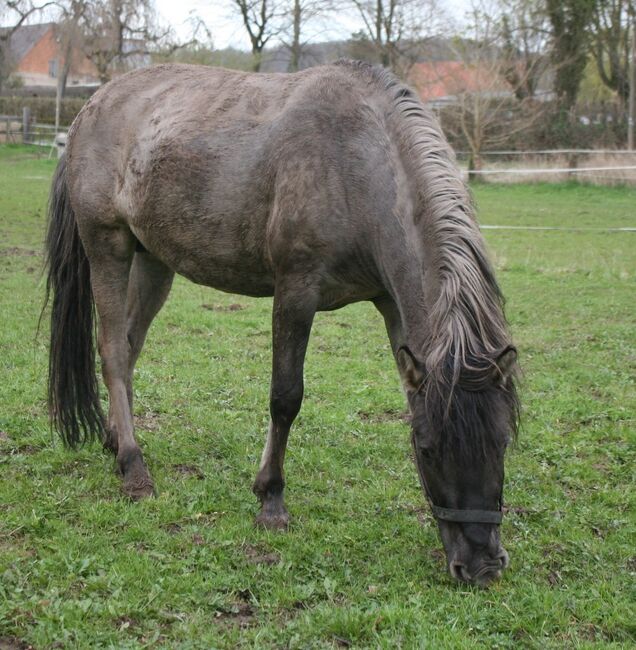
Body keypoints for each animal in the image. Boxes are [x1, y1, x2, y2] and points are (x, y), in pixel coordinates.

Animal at [47, 62, 520, 588]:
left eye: (503, 442)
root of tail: (90, 108)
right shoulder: (296, 291)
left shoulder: (393, 306)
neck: (357, 162)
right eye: (428, 448)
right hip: (107, 246)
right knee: (112, 351)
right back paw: (133, 467)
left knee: (129, 349)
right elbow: (285, 397)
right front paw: (271, 500)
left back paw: (115, 441)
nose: (481, 564)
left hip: (153, 260)